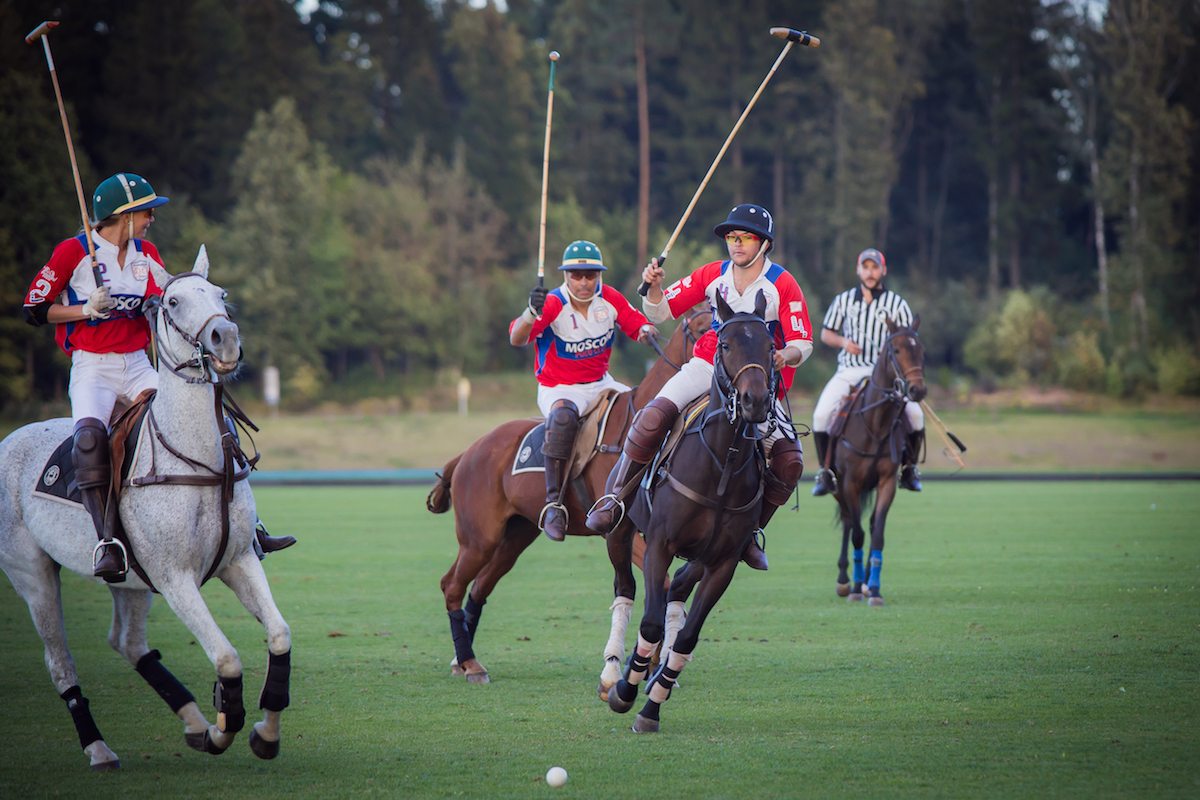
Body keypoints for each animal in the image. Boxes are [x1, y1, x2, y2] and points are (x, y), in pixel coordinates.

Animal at [0, 248, 290, 767]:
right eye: (172, 302)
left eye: (221, 294)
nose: (226, 339)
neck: (199, 461)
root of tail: (7, 440)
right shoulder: (175, 578)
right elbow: (226, 657)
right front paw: (225, 728)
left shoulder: (238, 559)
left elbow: (279, 635)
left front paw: (263, 733)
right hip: (31, 574)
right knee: (60, 662)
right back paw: (99, 748)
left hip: (130, 580)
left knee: (128, 642)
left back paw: (193, 722)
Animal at [424, 309, 710, 686]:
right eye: (703, 330)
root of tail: (467, 453)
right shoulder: (619, 529)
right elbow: (660, 583)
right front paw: (642, 663)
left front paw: (649, 665)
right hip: (479, 538)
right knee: (452, 585)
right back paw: (470, 662)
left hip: (516, 536)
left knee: (479, 588)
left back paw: (462, 659)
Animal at [604, 291, 772, 734]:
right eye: (725, 344)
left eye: (771, 346)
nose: (755, 401)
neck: (722, 464)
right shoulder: (660, 544)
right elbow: (649, 621)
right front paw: (625, 691)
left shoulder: (723, 562)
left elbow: (688, 636)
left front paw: (651, 707)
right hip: (619, 531)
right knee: (626, 588)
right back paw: (614, 672)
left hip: (699, 556)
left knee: (677, 587)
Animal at [825, 316, 926, 604]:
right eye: (897, 350)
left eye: (921, 350)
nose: (918, 389)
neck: (875, 423)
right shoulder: (849, 483)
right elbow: (857, 534)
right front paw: (856, 588)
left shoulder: (887, 481)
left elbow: (877, 533)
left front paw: (875, 589)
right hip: (838, 487)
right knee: (849, 521)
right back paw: (845, 581)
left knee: (868, 524)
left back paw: (867, 581)